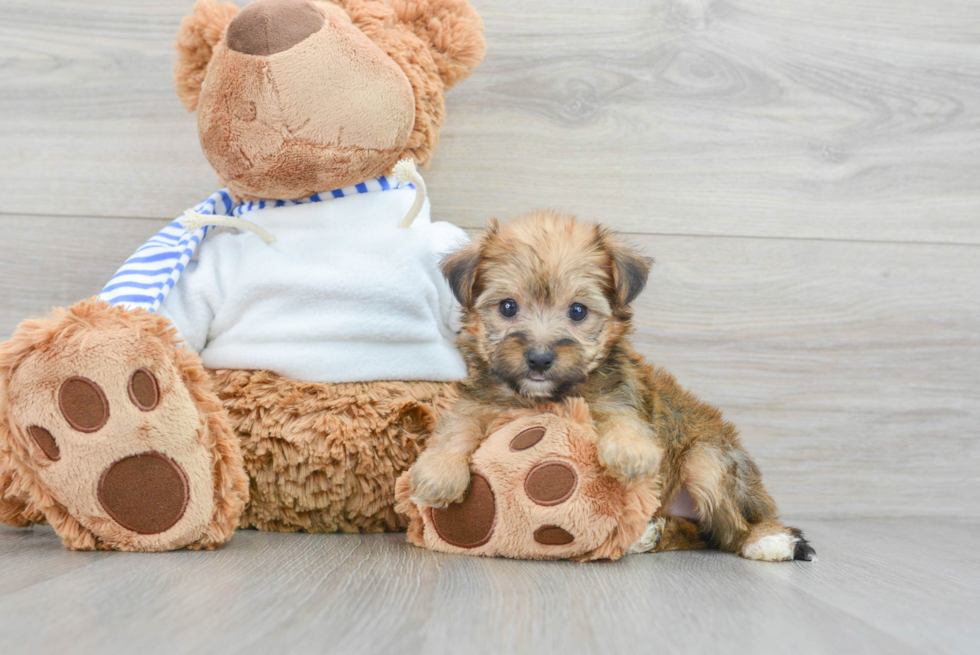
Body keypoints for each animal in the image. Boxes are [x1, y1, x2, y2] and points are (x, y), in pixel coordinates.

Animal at [410, 211, 816, 564]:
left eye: (577, 311)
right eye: (508, 307)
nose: (539, 358)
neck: (542, 396)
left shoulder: (619, 390)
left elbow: (622, 415)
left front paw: (630, 452)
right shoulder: (478, 398)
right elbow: (457, 426)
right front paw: (437, 473)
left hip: (708, 462)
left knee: (731, 528)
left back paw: (768, 541)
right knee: (699, 532)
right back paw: (646, 534)